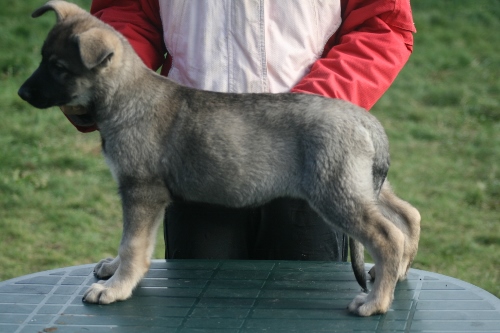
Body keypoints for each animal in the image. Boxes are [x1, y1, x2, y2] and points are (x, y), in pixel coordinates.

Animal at [17, 0, 420, 316]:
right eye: (42, 59)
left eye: (59, 68)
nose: (21, 93)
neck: (125, 95)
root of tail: (364, 119)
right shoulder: (146, 199)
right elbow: (136, 245)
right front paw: (115, 271)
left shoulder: (141, 193)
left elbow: (132, 245)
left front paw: (116, 287)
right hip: (362, 184)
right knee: (407, 215)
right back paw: (396, 274)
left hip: (337, 193)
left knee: (387, 237)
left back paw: (375, 302)